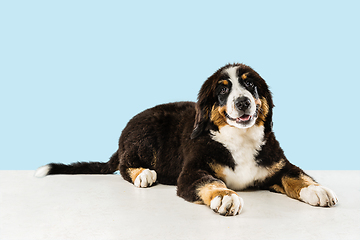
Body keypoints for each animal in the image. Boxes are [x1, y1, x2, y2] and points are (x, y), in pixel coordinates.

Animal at [35, 63, 338, 216]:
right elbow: (211, 182)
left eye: (250, 84)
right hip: (145, 137)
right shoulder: (192, 171)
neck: (239, 139)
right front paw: (225, 196)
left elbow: (296, 175)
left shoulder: (276, 165)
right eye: (222, 91)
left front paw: (317, 190)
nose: (243, 102)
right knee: (123, 165)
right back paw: (143, 174)